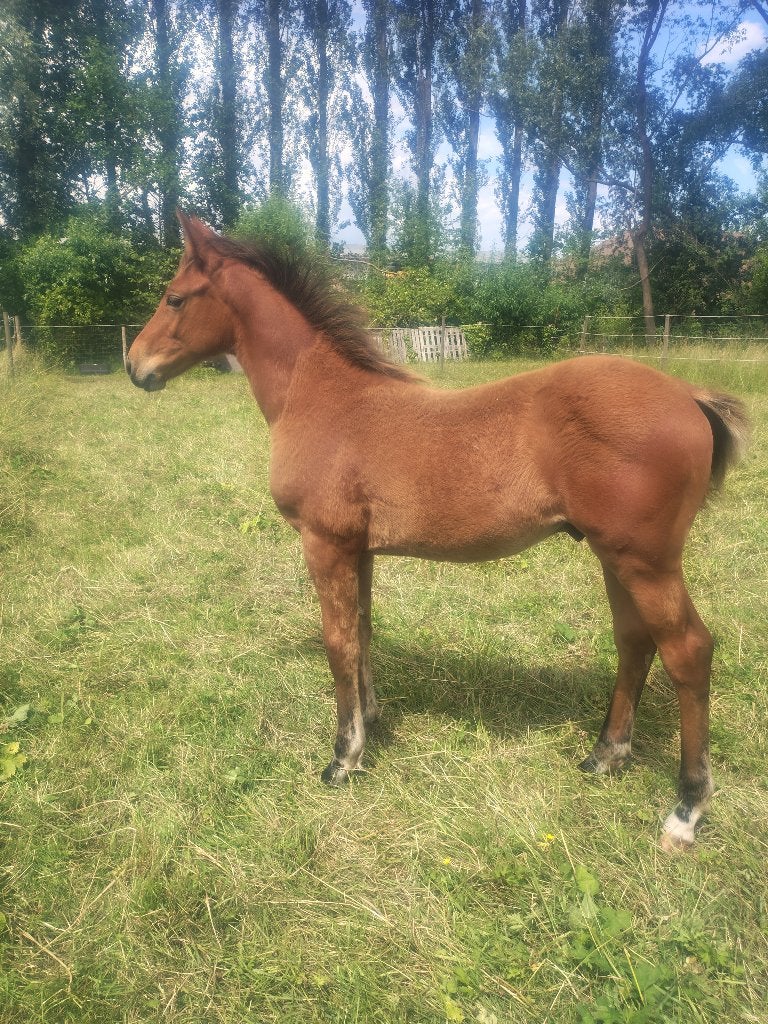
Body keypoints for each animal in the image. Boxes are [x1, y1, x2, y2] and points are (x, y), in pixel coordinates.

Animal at [127, 213, 749, 852]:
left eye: (175, 298)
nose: (134, 364)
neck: (322, 397)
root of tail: (690, 396)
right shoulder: (360, 548)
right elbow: (363, 630)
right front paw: (371, 722)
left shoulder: (324, 542)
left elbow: (338, 641)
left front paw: (343, 757)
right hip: (614, 556)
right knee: (634, 642)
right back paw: (605, 755)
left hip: (645, 559)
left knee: (687, 650)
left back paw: (685, 809)